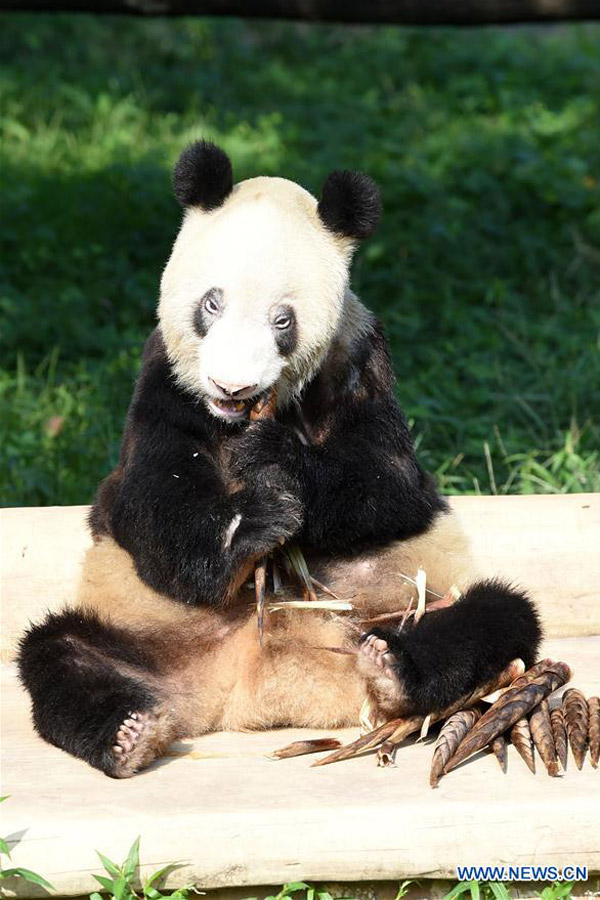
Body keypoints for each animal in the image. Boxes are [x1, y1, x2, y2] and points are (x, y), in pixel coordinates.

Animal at [16, 139, 540, 772]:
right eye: (211, 304)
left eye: (282, 320)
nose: (231, 386)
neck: (241, 417)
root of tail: (250, 687)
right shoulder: (164, 377)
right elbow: (149, 498)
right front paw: (254, 527)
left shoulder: (360, 358)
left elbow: (389, 482)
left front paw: (274, 462)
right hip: (141, 627)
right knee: (57, 650)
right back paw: (129, 733)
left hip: (409, 599)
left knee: (495, 613)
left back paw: (393, 670)